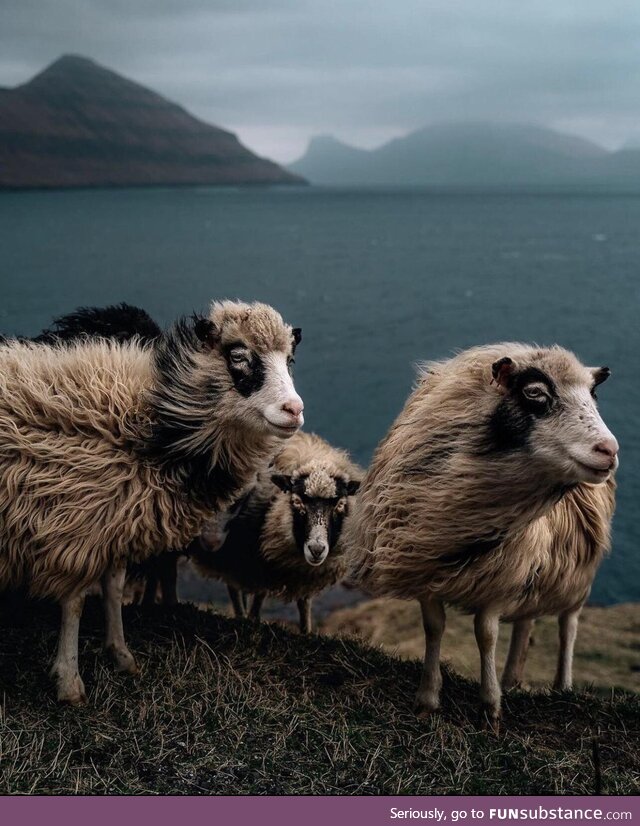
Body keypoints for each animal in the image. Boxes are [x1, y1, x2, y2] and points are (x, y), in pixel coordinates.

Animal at [0, 300, 304, 700]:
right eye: (239, 356)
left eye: (289, 360)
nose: (294, 409)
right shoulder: (76, 526)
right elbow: (75, 602)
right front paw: (69, 681)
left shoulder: (118, 519)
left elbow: (113, 589)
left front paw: (121, 655)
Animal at [192, 432, 362, 632]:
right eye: (297, 502)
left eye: (340, 504)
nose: (316, 549)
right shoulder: (260, 565)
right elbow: (258, 598)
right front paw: (252, 621)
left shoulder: (305, 575)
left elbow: (304, 606)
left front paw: (306, 632)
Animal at [344, 344, 620, 724]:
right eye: (536, 393)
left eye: (593, 395)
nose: (609, 450)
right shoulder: (424, 565)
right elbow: (434, 627)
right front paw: (428, 698)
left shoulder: (498, 578)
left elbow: (486, 635)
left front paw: (490, 706)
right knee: (526, 622)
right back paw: (512, 679)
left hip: (577, 573)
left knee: (569, 624)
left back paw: (561, 686)